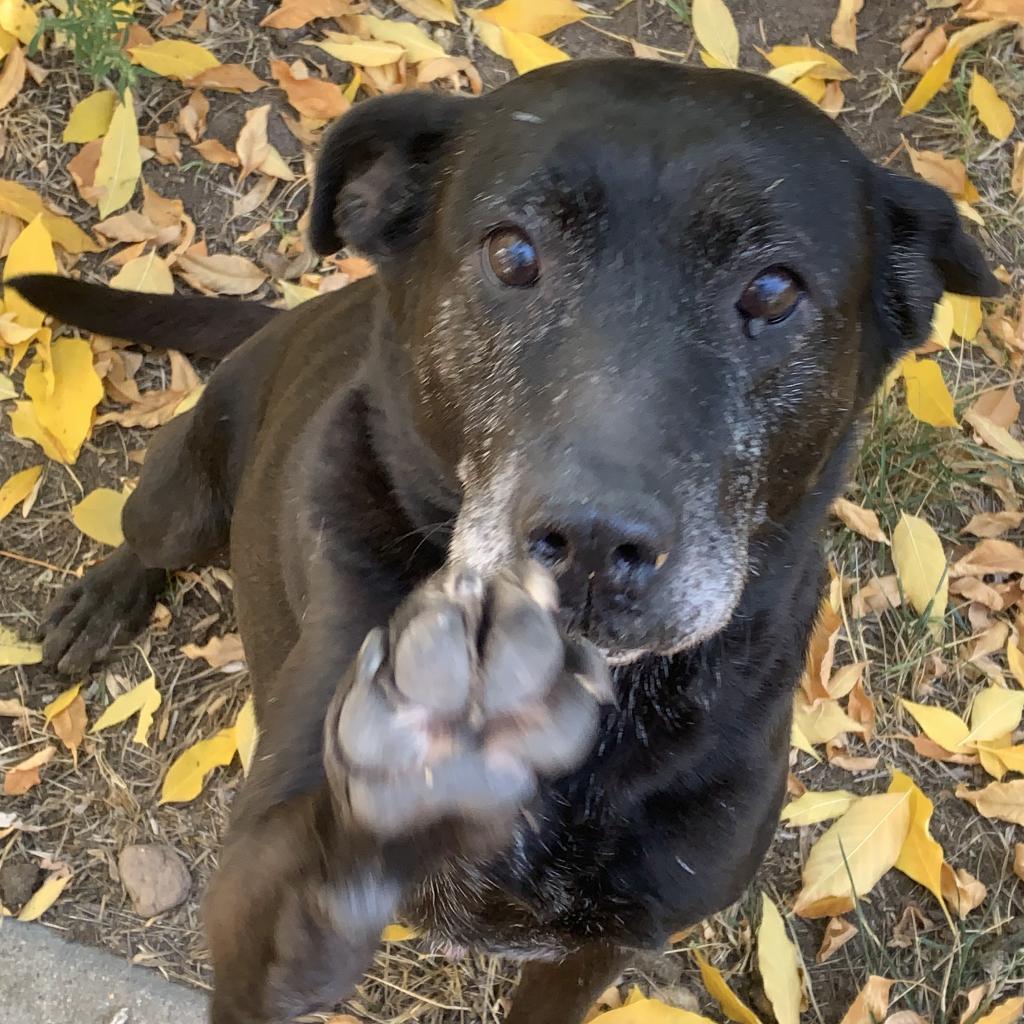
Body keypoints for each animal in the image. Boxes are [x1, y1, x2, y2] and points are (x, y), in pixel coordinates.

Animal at [12, 61, 995, 1024]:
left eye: (774, 289)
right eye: (512, 253)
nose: (593, 542)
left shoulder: (601, 945)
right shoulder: (261, 901)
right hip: (179, 490)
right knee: (149, 538)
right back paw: (102, 601)